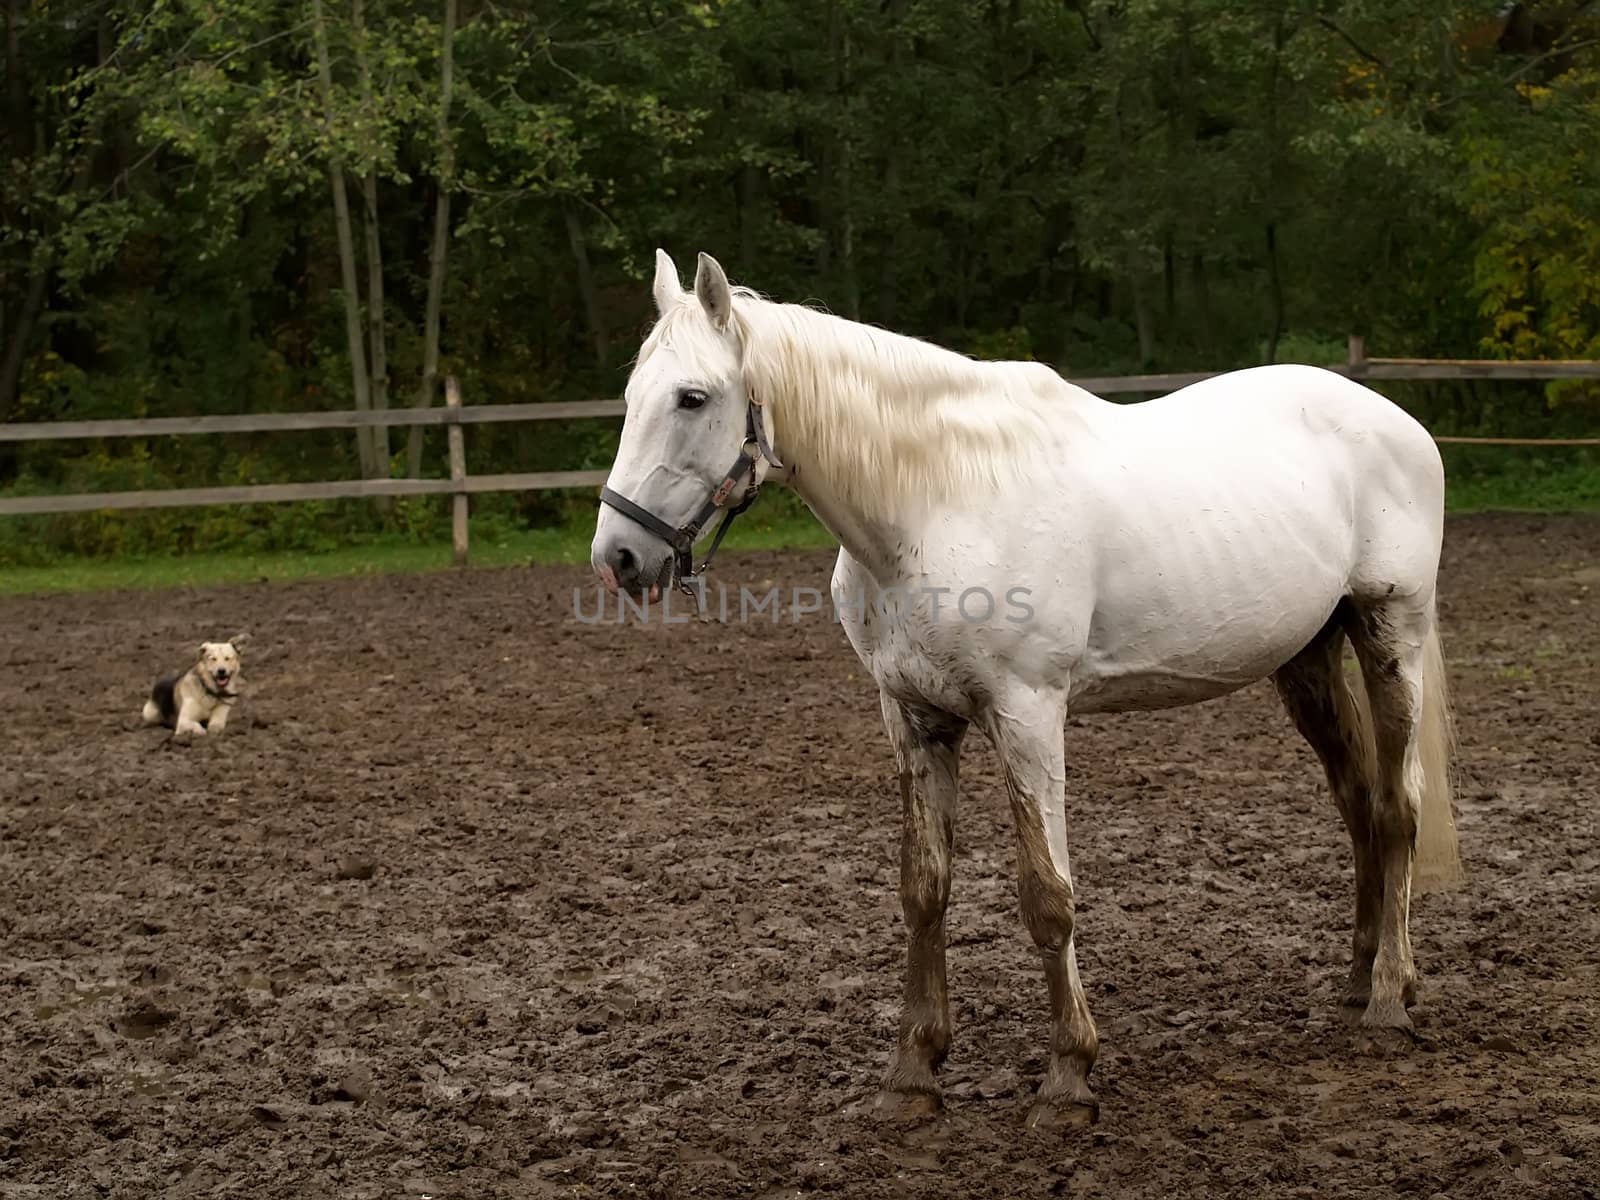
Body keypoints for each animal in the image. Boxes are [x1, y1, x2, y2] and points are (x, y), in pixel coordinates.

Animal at [592, 249, 1465, 1132]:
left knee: (1398, 807)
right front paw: (913, 1074)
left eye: (692, 397)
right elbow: (923, 888)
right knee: (1358, 803)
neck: (933, 501)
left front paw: (1069, 1076)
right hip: (1309, 658)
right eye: (631, 396)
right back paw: (1357, 981)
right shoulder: (915, 718)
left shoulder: (1028, 713)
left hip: (1390, 631)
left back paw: (1389, 998)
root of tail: (1397, 422)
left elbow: (1046, 894)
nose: (619, 557)